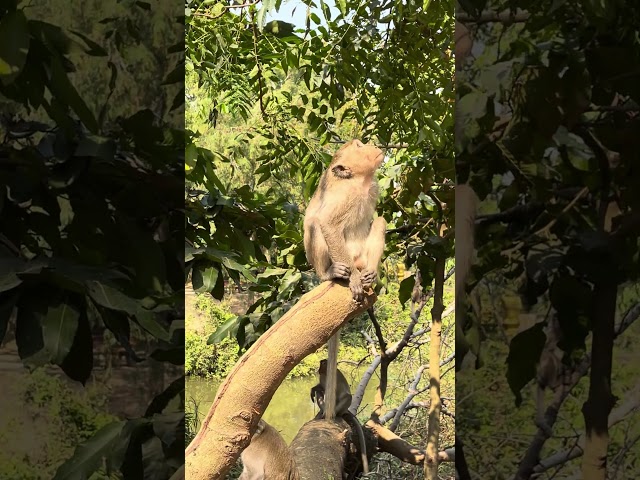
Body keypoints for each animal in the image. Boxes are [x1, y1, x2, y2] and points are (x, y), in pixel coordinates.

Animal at [304, 141, 388, 426]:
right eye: (359, 146)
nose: (371, 144)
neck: (360, 183)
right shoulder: (345, 194)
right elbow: (327, 223)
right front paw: (351, 281)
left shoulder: (373, 189)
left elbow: (377, 218)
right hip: (335, 258)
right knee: (314, 224)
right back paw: (335, 274)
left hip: (360, 256)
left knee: (380, 221)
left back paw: (369, 273)